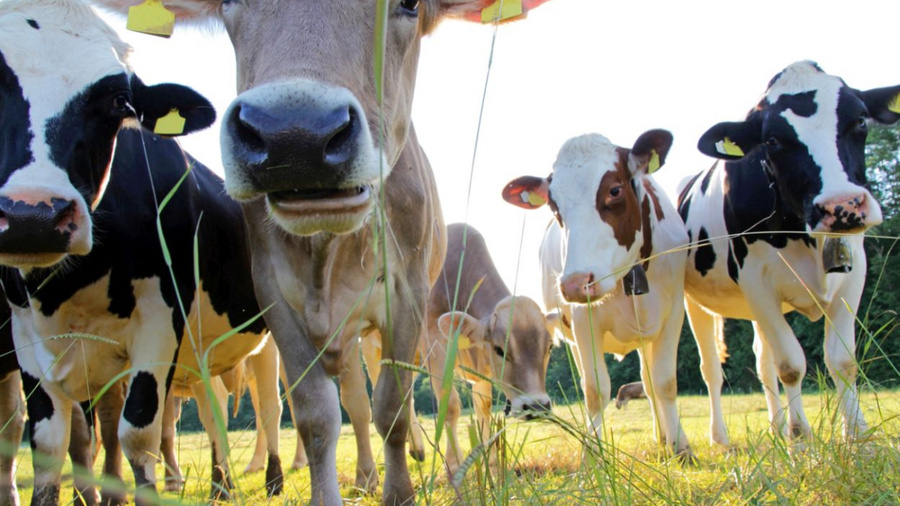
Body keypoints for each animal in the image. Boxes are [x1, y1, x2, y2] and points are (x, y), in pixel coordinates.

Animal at [0, 1, 284, 504]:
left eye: (118, 101)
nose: (31, 215)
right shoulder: (26, 336)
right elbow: (50, 444)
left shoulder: (159, 320)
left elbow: (137, 434)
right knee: (211, 408)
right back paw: (220, 484)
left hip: (265, 338)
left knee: (270, 408)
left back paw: (271, 478)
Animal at [88, 0, 560, 502]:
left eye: (410, 5)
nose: (295, 138)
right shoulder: (274, 298)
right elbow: (317, 415)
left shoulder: (408, 297)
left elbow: (394, 407)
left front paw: (405, 490)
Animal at [502, 128, 692, 456]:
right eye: (553, 206)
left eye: (614, 190)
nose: (575, 283)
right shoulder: (583, 322)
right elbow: (594, 390)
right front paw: (592, 455)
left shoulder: (674, 313)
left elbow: (664, 382)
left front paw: (680, 447)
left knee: (648, 382)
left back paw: (662, 436)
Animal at [684, 61, 900, 444]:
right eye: (771, 140)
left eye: (860, 120)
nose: (842, 206)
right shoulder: (756, 282)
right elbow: (790, 365)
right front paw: (800, 437)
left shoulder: (854, 274)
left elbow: (842, 361)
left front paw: (857, 436)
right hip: (697, 303)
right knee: (711, 369)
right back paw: (721, 438)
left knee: (762, 362)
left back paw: (776, 427)